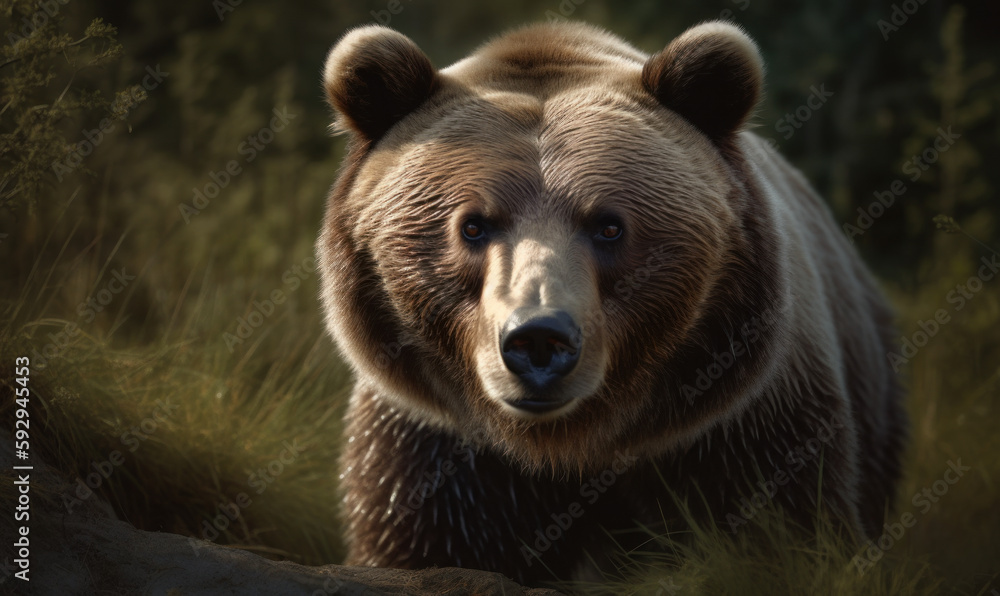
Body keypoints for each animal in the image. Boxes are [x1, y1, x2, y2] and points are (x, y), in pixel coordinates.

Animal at [316, 20, 907, 585]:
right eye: (473, 225)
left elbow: (782, 534)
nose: (539, 339)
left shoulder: (748, 425)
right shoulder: (434, 449)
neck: (574, 445)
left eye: (608, 225)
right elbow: (422, 539)